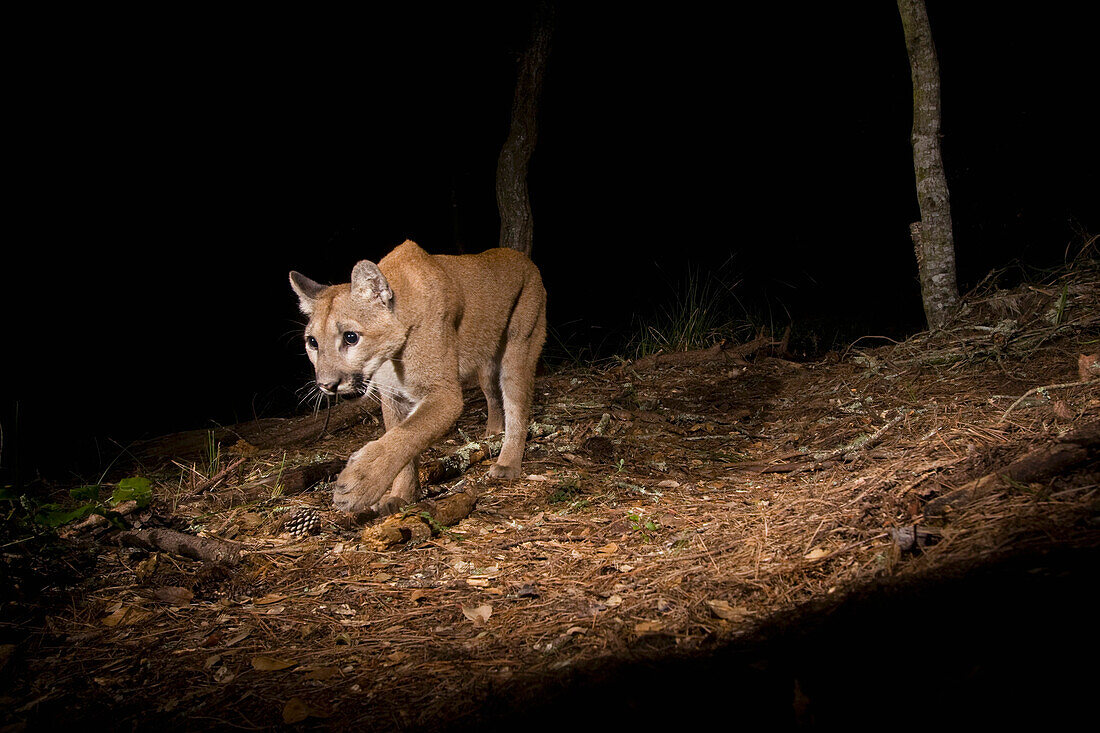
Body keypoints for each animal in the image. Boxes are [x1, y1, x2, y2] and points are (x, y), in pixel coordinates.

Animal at [288, 238, 545, 512]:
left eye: (350, 337)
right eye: (312, 342)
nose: (326, 385)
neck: (391, 356)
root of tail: (522, 257)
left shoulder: (444, 394)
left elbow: (407, 434)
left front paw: (361, 482)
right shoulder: (393, 397)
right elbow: (400, 437)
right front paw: (400, 495)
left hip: (518, 347)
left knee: (516, 406)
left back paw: (508, 463)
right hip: (486, 365)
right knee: (493, 397)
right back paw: (492, 434)